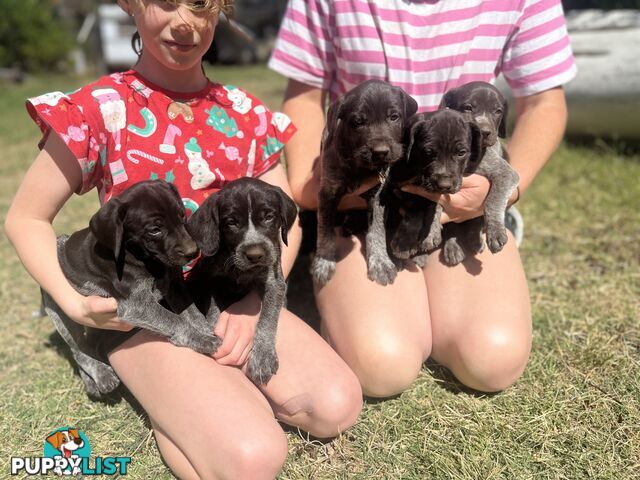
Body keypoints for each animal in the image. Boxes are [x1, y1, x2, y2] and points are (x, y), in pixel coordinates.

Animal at [43, 180, 221, 398]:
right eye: (155, 229)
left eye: (182, 216)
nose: (193, 252)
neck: (145, 259)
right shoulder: (136, 305)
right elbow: (174, 320)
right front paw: (201, 339)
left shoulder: (174, 287)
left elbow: (192, 313)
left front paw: (206, 330)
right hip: (59, 309)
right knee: (77, 349)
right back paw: (100, 375)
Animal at [184, 178, 296, 384]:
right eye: (231, 223)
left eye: (269, 217)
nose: (255, 255)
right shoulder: (209, 281)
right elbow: (213, 310)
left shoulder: (274, 283)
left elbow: (267, 318)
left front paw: (262, 357)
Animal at [438, 80, 524, 264]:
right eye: (468, 107)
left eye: (498, 111)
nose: (484, 133)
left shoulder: (506, 173)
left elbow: (493, 200)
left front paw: (496, 231)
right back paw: (453, 246)